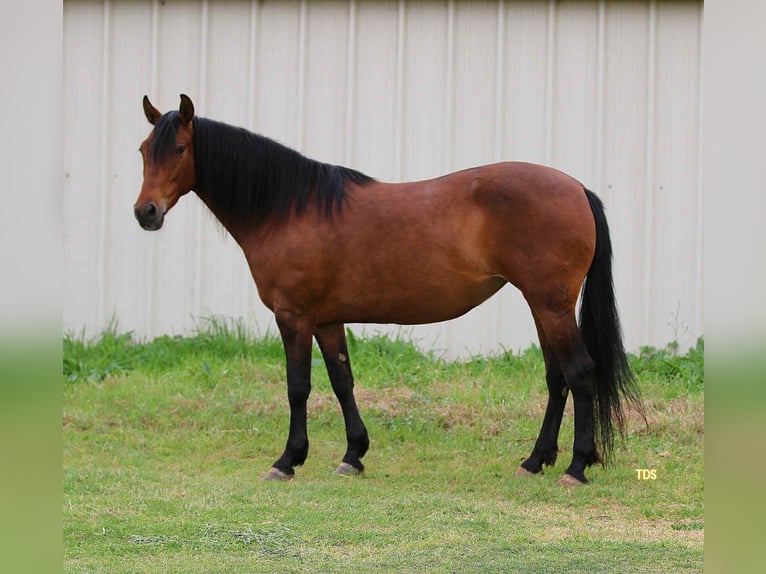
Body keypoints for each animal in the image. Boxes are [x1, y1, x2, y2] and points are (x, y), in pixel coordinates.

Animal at [134, 94, 639, 486]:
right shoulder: (327, 319)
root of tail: (577, 189)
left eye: (180, 148)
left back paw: (576, 466)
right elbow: (342, 381)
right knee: (557, 379)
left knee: (579, 373)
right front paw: (352, 455)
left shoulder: (293, 317)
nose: (145, 212)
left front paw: (287, 460)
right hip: (542, 307)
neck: (289, 209)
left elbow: (298, 387)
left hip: (551, 306)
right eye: (142, 149)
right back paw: (535, 460)